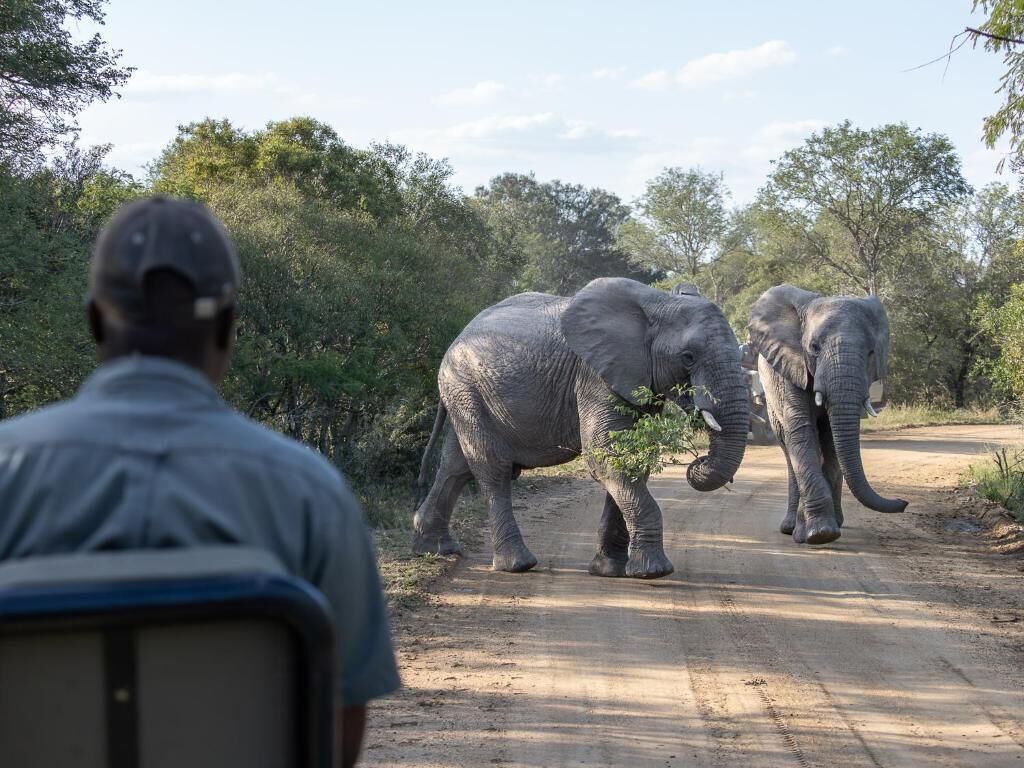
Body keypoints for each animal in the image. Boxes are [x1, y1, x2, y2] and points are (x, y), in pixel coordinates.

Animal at [411, 277, 749, 579]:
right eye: (688, 357)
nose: (697, 462)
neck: (657, 304)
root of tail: (457, 337)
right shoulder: (593, 374)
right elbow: (604, 453)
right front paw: (654, 572)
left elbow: (630, 458)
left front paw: (609, 571)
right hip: (464, 386)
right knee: (491, 467)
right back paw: (517, 564)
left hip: (465, 393)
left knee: (455, 466)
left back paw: (434, 548)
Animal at [747, 284, 908, 545]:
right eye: (814, 348)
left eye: (871, 352)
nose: (903, 502)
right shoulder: (792, 365)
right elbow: (801, 431)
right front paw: (819, 534)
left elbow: (833, 438)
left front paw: (817, 530)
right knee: (786, 445)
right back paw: (789, 527)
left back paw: (832, 521)